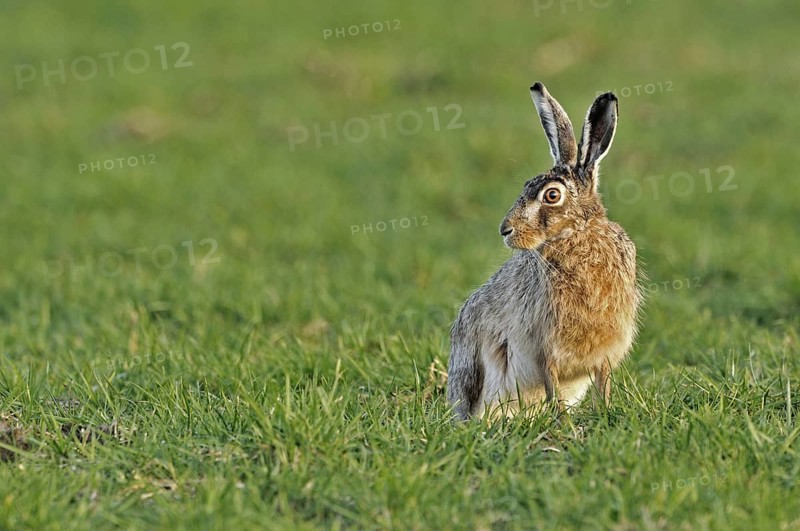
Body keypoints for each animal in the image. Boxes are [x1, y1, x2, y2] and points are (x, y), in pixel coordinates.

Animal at [447, 82, 642, 420]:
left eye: (552, 195)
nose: (505, 230)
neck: (577, 234)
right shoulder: (544, 349)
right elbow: (551, 382)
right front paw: (561, 420)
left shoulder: (606, 350)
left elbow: (602, 383)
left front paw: (602, 412)